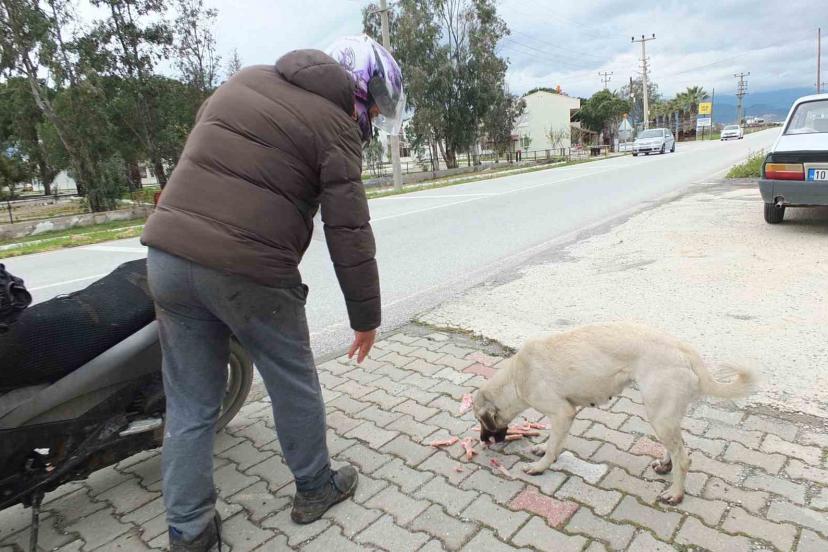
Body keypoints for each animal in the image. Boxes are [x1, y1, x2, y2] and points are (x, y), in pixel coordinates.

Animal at [473, 322, 756, 504]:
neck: (515, 378)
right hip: (664, 414)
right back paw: (666, 465)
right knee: (677, 448)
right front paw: (542, 448)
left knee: (683, 458)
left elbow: (555, 446)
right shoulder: (565, 414)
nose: (483, 441)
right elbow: (554, 441)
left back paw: (675, 494)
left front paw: (541, 466)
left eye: (480, 421)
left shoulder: (563, 413)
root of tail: (684, 349)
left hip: (658, 414)